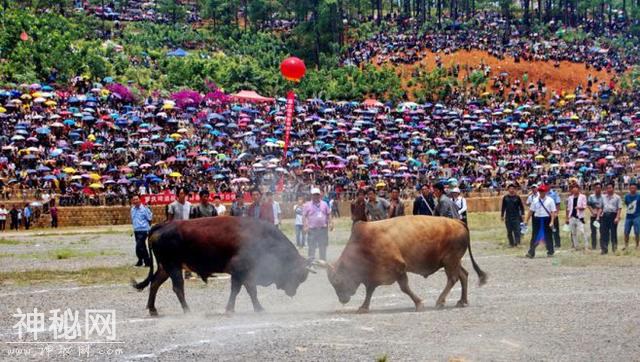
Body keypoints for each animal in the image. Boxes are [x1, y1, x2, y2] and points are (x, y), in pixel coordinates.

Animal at [322, 216, 488, 312]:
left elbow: (404, 288)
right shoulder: (374, 276)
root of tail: (458, 222)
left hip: (450, 261)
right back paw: (462, 301)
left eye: (337, 280)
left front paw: (419, 304)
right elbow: (370, 290)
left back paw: (440, 301)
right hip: (453, 262)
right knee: (463, 275)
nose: (342, 299)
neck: (364, 243)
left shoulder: (398, 268)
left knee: (453, 279)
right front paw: (363, 307)